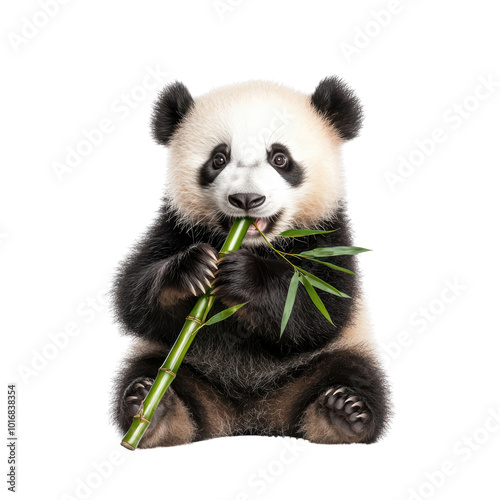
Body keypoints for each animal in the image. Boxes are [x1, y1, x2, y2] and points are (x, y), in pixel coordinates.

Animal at [112, 78, 390, 450]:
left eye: (280, 158)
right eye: (218, 158)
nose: (246, 199)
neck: (256, 244)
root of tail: (252, 417)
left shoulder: (328, 237)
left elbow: (320, 308)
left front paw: (244, 278)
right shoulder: (174, 227)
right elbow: (134, 294)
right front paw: (192, 270)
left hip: (336, 354)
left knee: (355, 373)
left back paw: (342, 413)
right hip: (184, 362)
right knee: (151, 371)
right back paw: (154, 410)